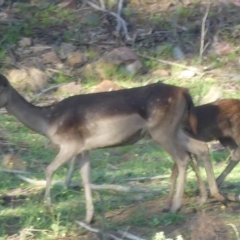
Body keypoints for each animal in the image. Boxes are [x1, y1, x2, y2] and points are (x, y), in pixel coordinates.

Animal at [0, 74, 225, 223]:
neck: (48, 123)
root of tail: (184, 91)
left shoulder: (70, 144)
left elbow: (49, 170)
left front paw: (49, 209)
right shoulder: (83, 149)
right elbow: (85, 179)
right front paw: (88, 217)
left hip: (162, 131)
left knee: (182, 158)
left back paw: (177, 206)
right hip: (174, 129)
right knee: (200, 148)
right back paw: (212, 196)